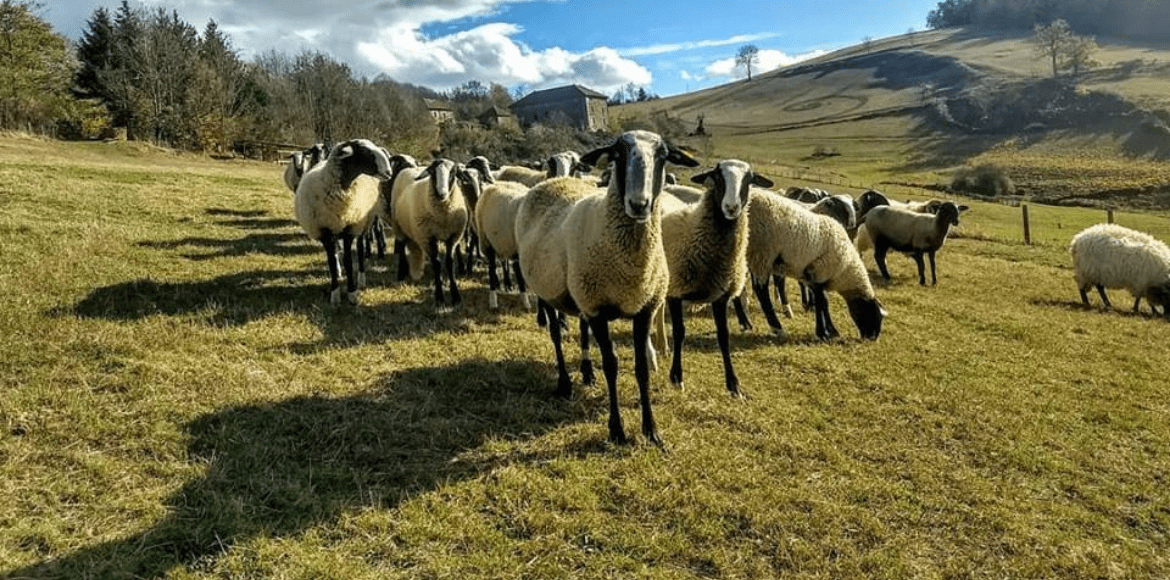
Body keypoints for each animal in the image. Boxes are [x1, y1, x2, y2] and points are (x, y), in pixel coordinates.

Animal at [292, 138, 393, 306]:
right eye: (363, 151)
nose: (389, 172)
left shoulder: (349, 229)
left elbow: (348, 260)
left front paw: (352, 293)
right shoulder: (325, 231)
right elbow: (332, 261)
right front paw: (335, 294)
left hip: (363, 224)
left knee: (360, 250)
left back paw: (361, 279)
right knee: (336, 252)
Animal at [390, 156, 467, 306]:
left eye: (453, 172)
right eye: (433, 172)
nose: (442, 193)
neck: (443, 214)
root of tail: (413, 168)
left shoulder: (453, 236)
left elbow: (449, 262)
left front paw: (456, 296)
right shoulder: (428, 238)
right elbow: (436, 264)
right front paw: (439, 297)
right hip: (398, 226)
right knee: (401, 246)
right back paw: (401, 273)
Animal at [512, 131, 692, 446]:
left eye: (663, 155)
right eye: (618, 154)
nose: (639, 204)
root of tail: (551, 181)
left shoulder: (643, 307)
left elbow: (641, 367)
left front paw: (651, 430)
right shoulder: (597, 309)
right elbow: (611, 364)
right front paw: (617, 430)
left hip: (581, 292)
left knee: (581, 328)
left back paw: (586, 373)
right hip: (547, 287)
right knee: (556, 334)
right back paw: (564, 383)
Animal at [655, 157, 772, 397]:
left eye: (749, 179)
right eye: (718, 177)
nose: (731, 207)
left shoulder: (721, 295)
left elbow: (723, 335)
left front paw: (734, 385)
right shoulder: (677, 290)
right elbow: (679, 332)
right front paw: (677, 378)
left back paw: (660, 345)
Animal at [725, 192, 879, 341]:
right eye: (869, 312)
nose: (872, 338)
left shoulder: (810, 273)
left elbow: (821, 299)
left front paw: (826, 328)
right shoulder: (816, 270)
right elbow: (821, 300)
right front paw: (825, 332)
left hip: (745, 256)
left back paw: (745, 323)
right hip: (762, 253)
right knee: (761, 291)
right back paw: (777, 328)